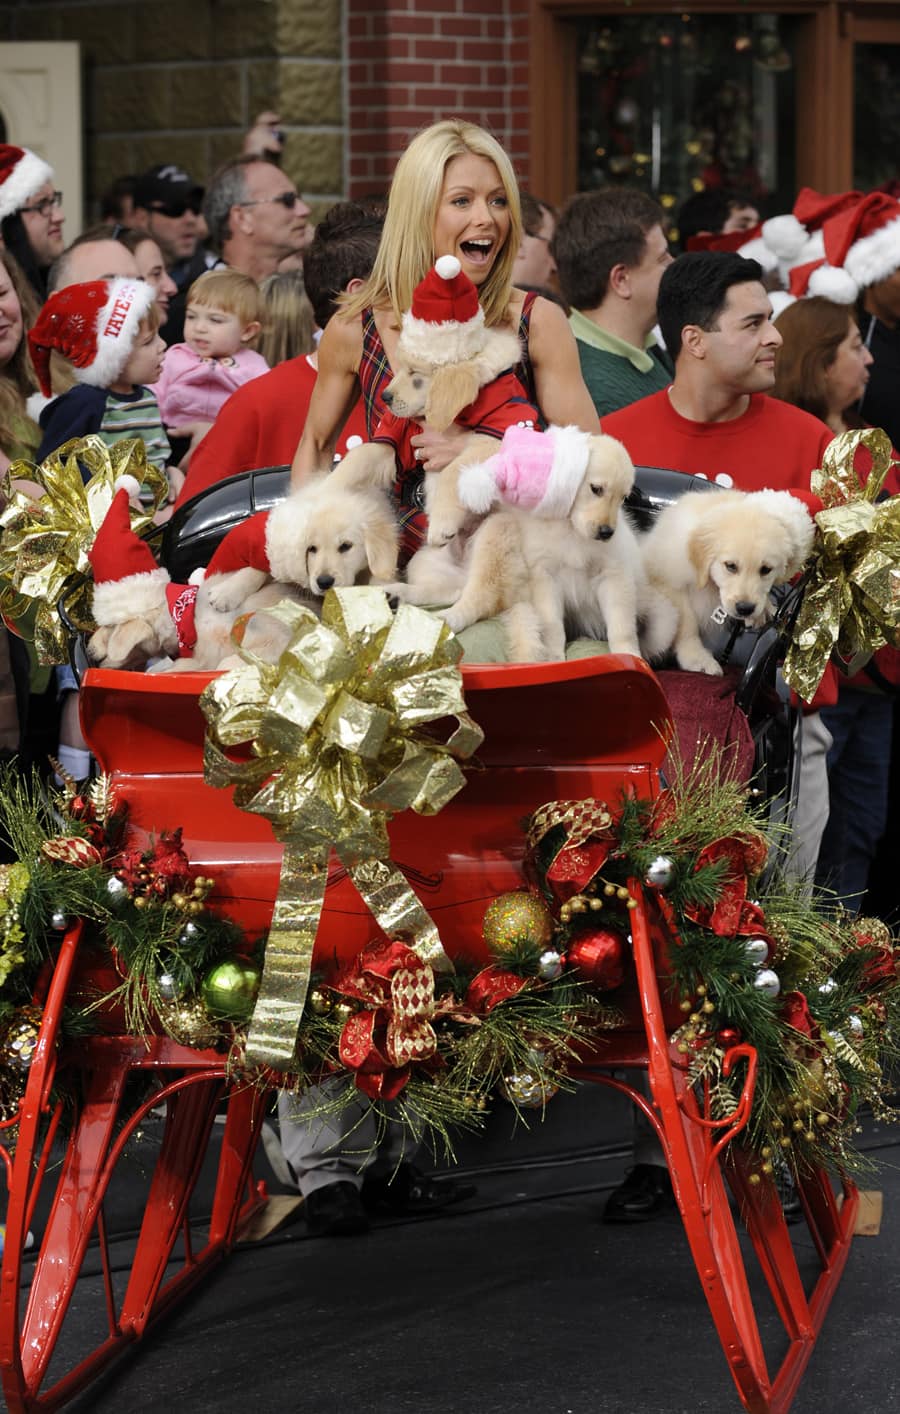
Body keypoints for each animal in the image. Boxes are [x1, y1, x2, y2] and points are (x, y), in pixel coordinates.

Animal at [639, 489, 815, 675]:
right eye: (731, 566)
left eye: (766, 569)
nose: (745, 608)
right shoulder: (667, 580)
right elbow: (687, 622)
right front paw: (696, 657)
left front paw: (764, 610)